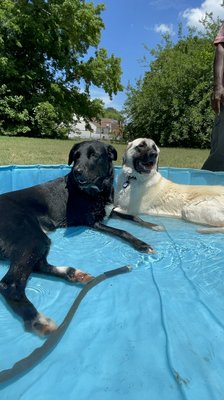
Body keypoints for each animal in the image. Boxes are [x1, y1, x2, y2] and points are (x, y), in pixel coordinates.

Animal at [0, 139, 154, 336]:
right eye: (75, 156)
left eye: (94, 155)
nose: (76, 171)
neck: (97, 190)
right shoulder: (93, 223)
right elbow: (122, 231)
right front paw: (141, 244)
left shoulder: (109, 212)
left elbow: (132, 217)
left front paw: (153, 226)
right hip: (32, 238)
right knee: (10, 284)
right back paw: (37, 320)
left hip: (39, 239)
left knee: (38, 265)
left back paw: (73, 274)